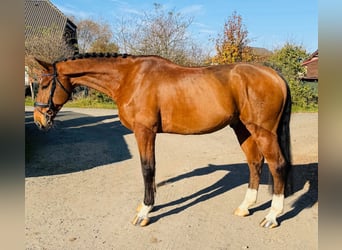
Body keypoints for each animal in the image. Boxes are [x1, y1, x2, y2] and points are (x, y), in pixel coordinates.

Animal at [32, 52, 292, 229]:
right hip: (242, 128)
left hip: (263, 131)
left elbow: (147, 168)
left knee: (277, 165)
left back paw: (272, 216)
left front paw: (144, 212)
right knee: (255, 163)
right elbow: (151, 169)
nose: (38, 120)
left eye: (44, 84)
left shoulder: (144, 131)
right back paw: (245, 207)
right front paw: (147, 205)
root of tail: (275, 75)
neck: (130, 78)